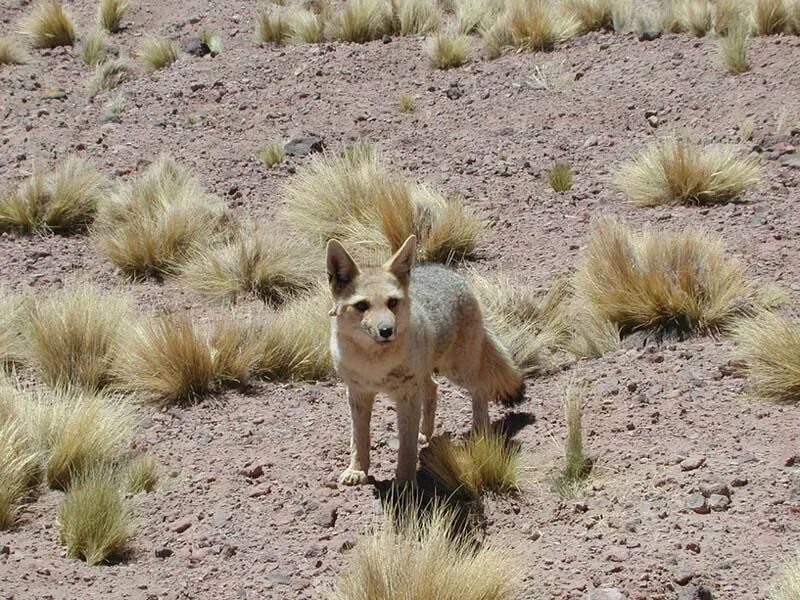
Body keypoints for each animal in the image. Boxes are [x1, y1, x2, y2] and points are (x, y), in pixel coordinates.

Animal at [324, 232, 524, 486]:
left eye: (392, 302)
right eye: (362, 306)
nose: (387, 330)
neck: (375, 364)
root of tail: (448, 270)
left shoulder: (407, 394)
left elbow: (406, 445)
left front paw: (405, 480)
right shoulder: (358, 392)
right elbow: (359, 436)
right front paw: (358, 470)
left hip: (458, 371)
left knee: (480, 388)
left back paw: (480, 430)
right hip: (429, 373)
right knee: (433, 387)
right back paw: (426, 432)